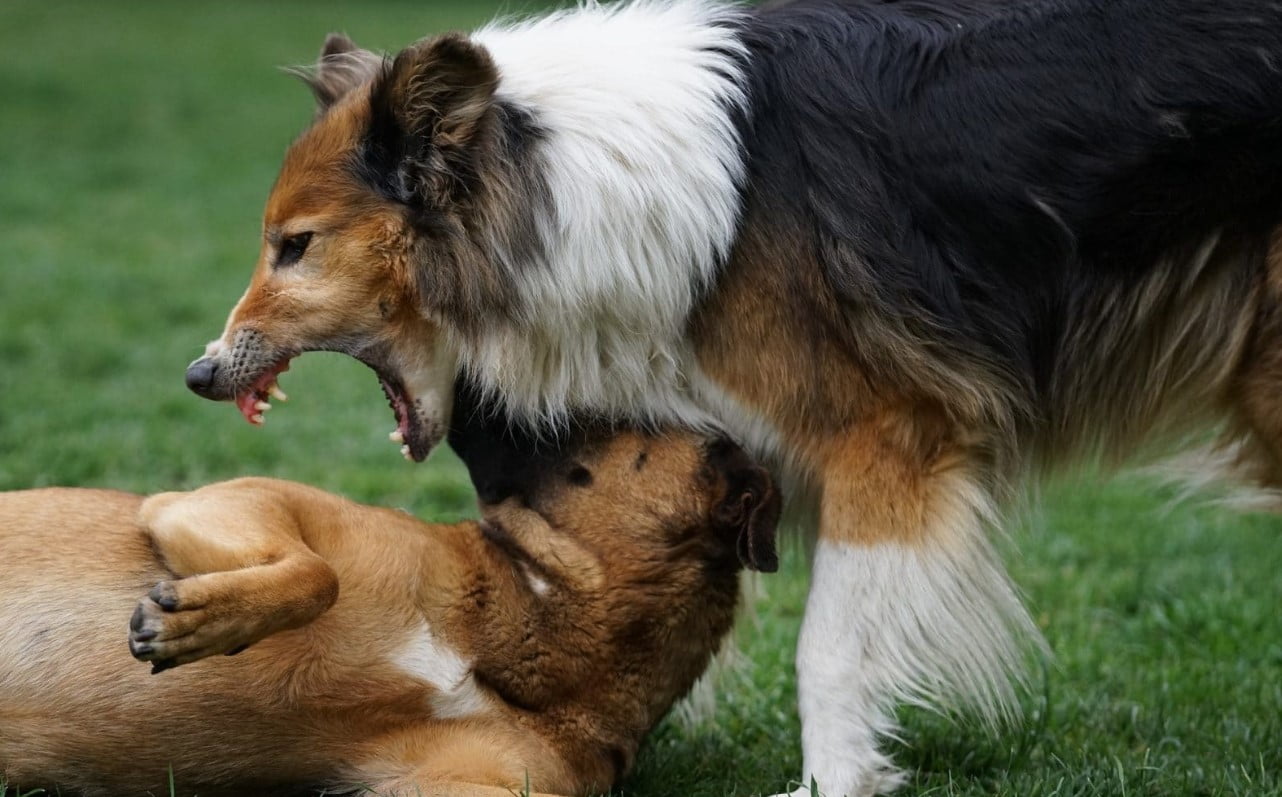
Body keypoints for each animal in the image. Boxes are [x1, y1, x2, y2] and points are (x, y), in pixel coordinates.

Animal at [185, 3, 1282, 794]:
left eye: (295, 246)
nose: (199, 374)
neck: (565, 180)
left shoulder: (887, 439)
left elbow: (827, 650)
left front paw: (831, 783)